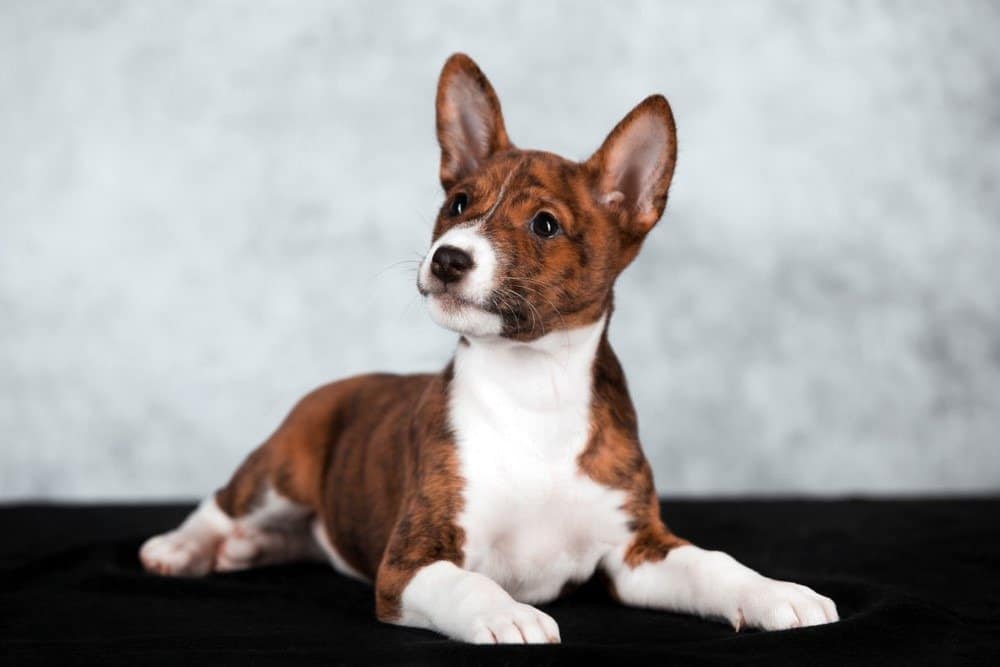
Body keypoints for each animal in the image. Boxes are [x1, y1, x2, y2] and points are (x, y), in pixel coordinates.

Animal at [141, 54, 840, 644]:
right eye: (456, 205)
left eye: (544, 225)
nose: (448, 258)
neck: (534, 387)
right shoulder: (411, 560)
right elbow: (468, 583)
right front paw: (509, 614)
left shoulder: (637, 551)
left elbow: (714, 564)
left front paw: (774, 591)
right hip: (284, 466)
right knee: (223, 502)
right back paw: (182, 547)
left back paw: (249, 550)